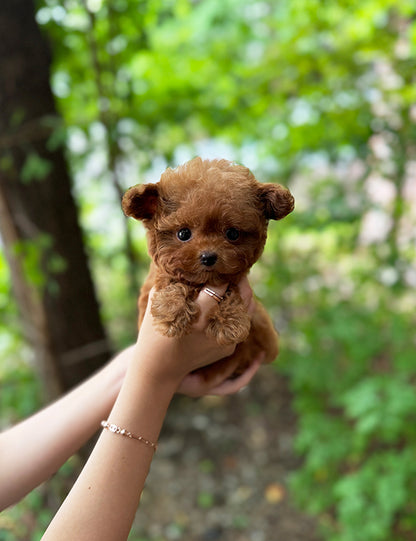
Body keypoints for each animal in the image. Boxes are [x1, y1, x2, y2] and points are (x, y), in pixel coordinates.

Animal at [122, 155, 294, 376]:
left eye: (232, 234)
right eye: (183, 234)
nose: (208, 257)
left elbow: (230, 289)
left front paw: (230, 322)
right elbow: (172, 281)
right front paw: (172, 312)